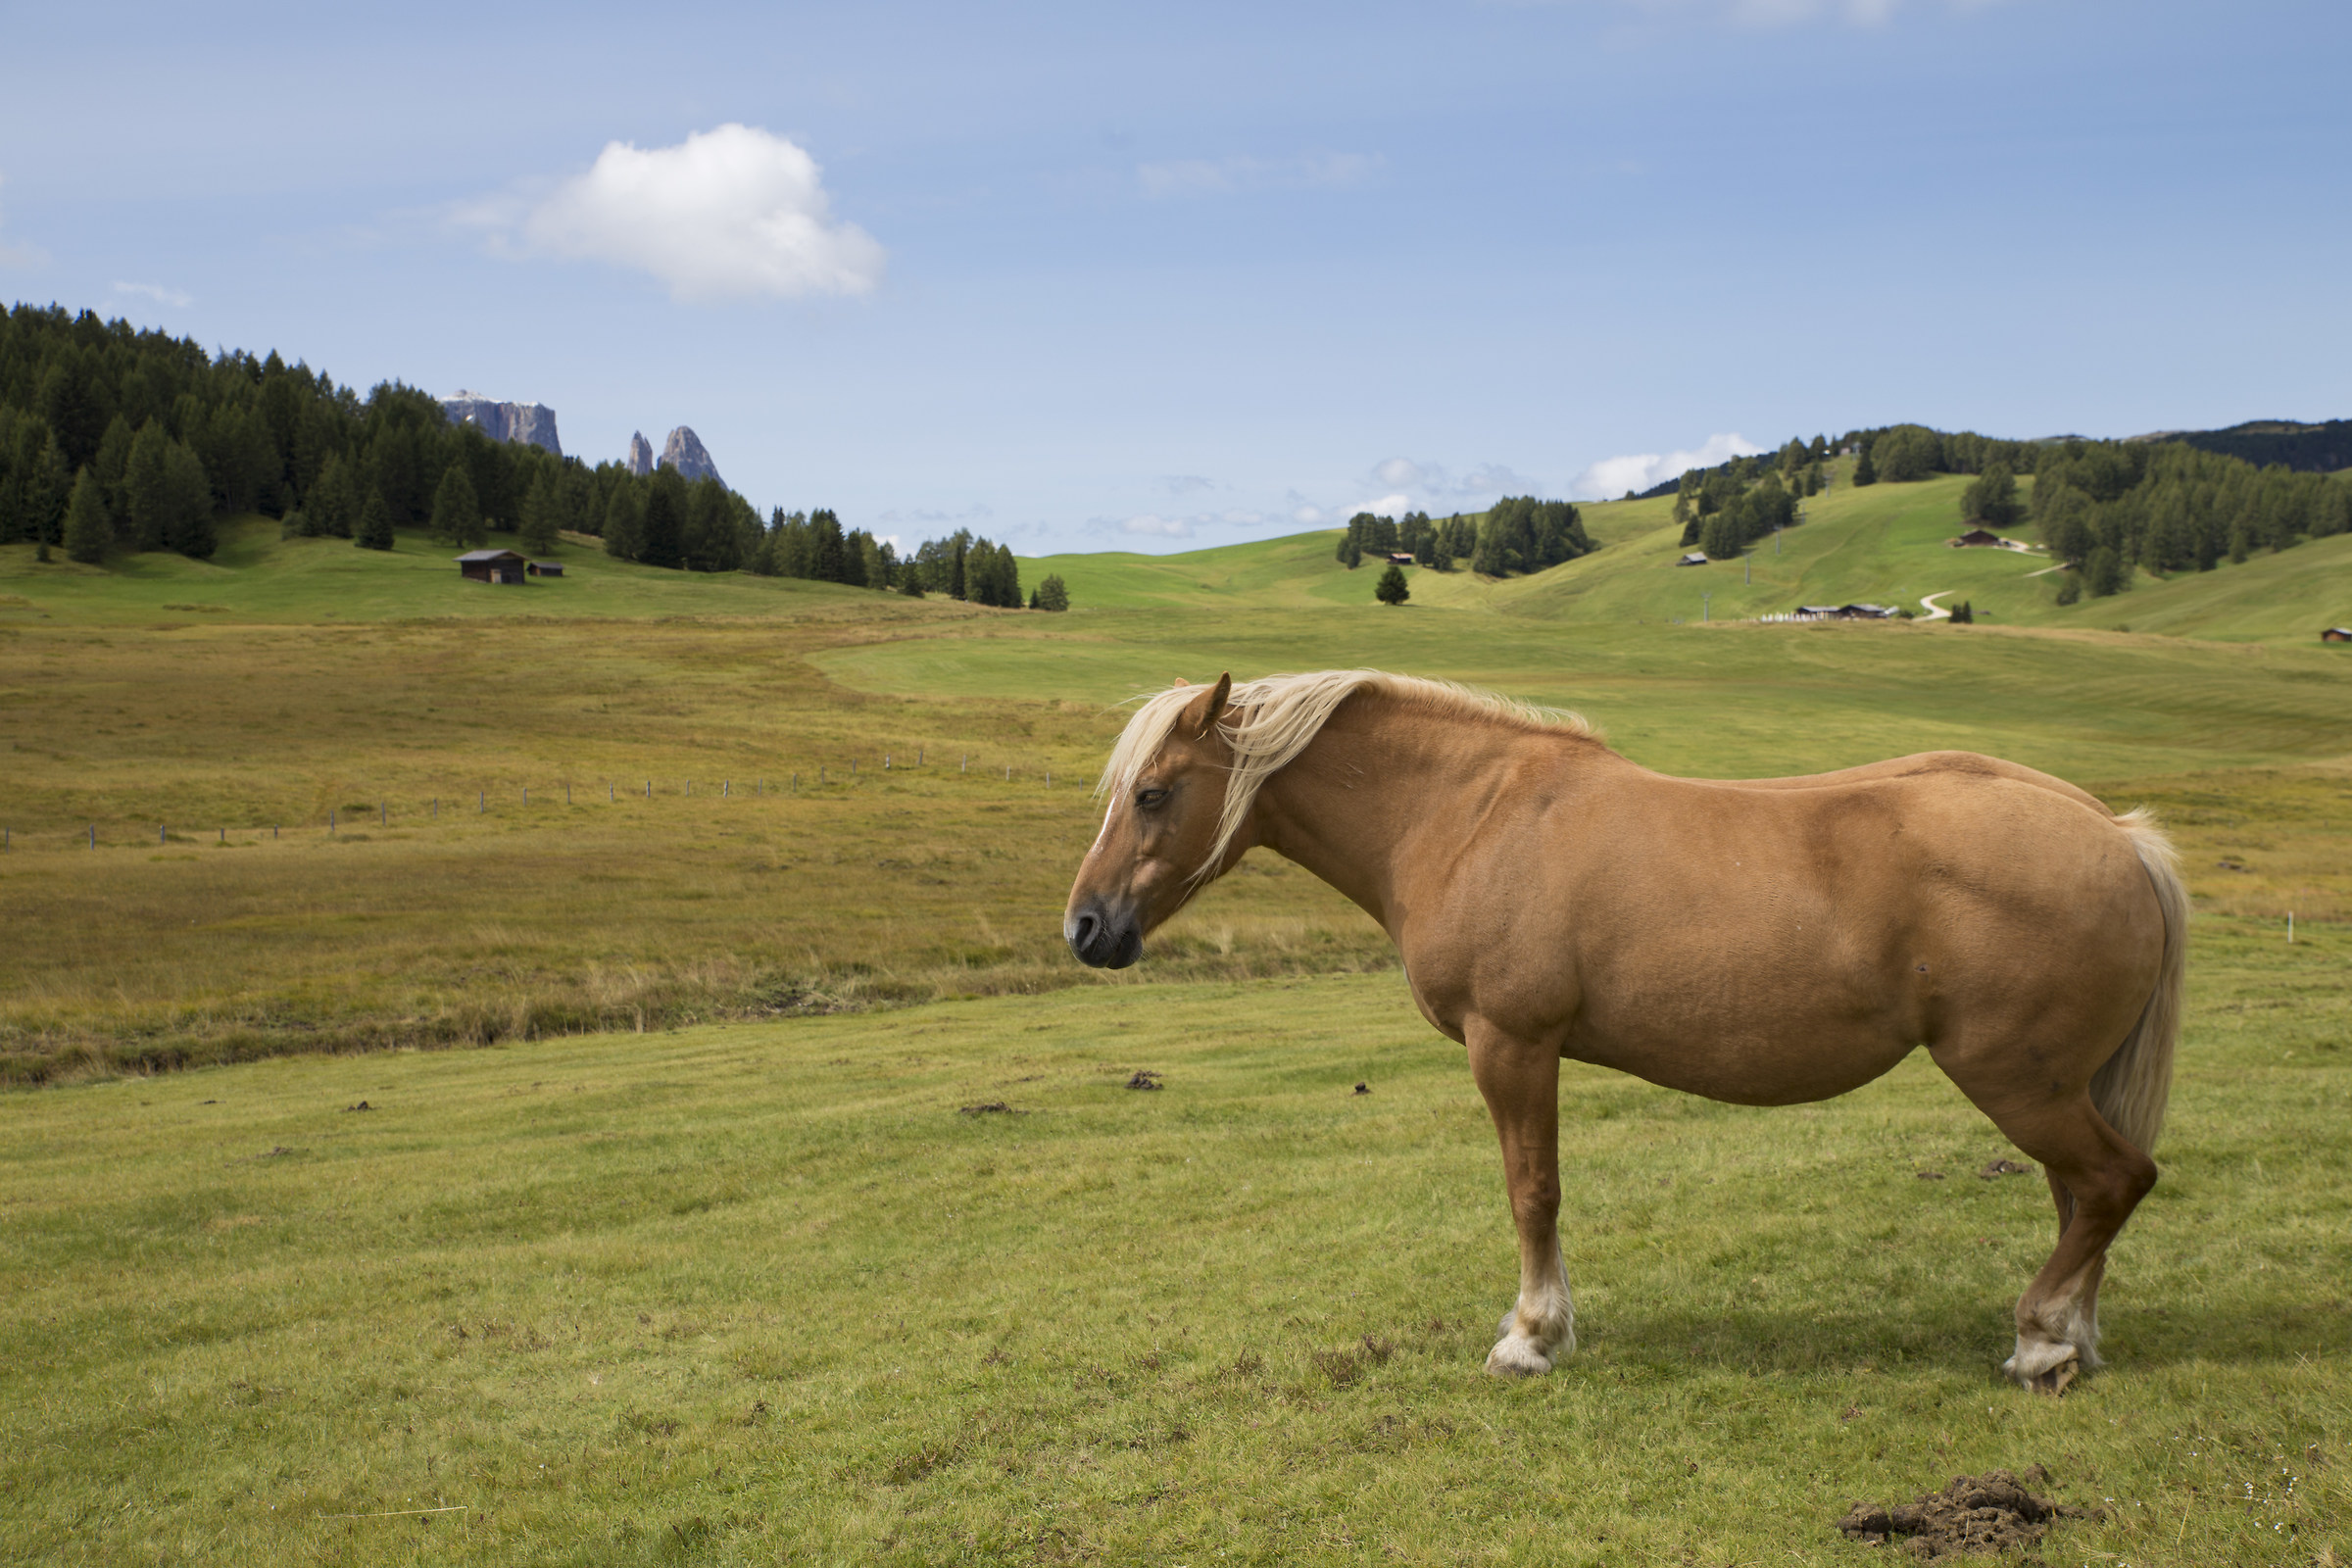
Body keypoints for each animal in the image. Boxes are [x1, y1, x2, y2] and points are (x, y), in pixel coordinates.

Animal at [1062, 670, 2185, 1393]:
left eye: (1153, 792)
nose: (1086, 928)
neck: (1471, 816)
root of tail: (2115, 835)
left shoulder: (1512, 1044)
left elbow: (1533, 1191)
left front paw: (1531, 1337)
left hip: (2016, 1080)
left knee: (2112, 1183)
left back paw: (2041, 1340)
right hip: (2051, 1086)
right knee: (2082, 1196)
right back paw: (2070, 1341)